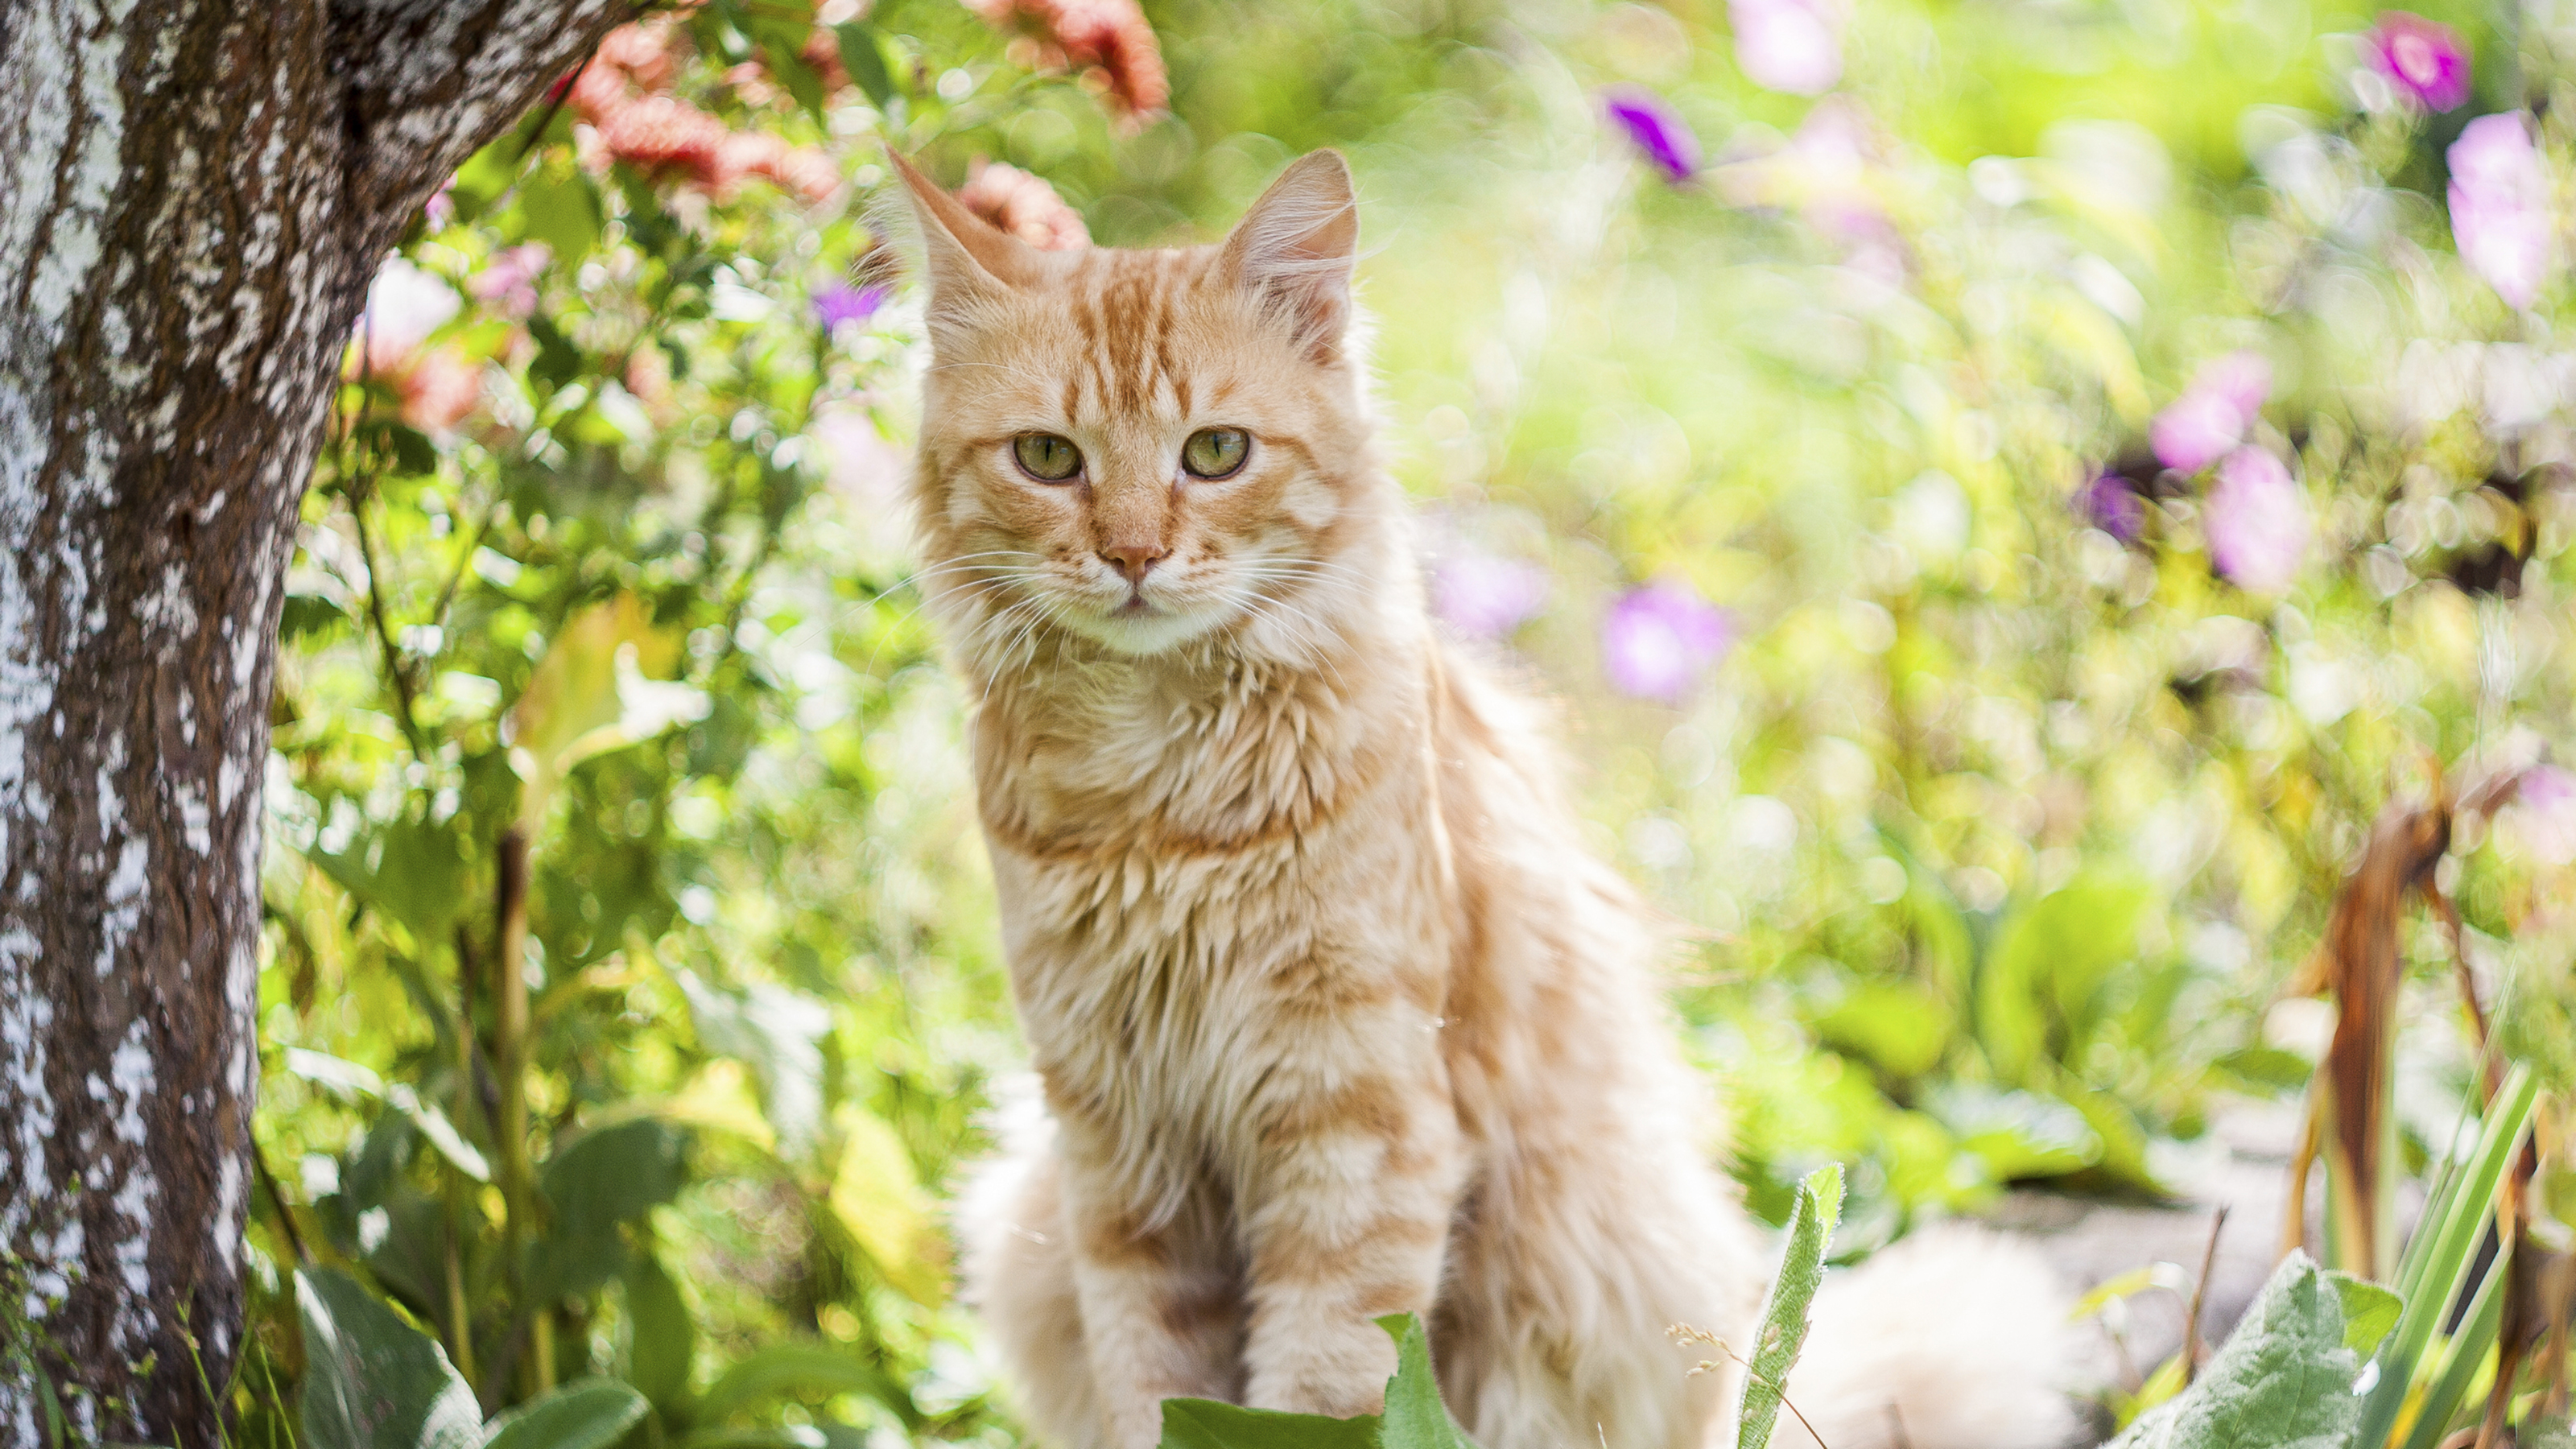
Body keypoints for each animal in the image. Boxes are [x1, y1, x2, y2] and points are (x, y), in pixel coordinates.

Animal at [896, 155, 2081, 1443]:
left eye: (1213, 453)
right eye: (1047, 459)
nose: (1130, 556)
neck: (1155, 799)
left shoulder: (1358, 1126)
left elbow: (1320, 1385)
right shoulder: (1118, 1148)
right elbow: (1154, 1388)